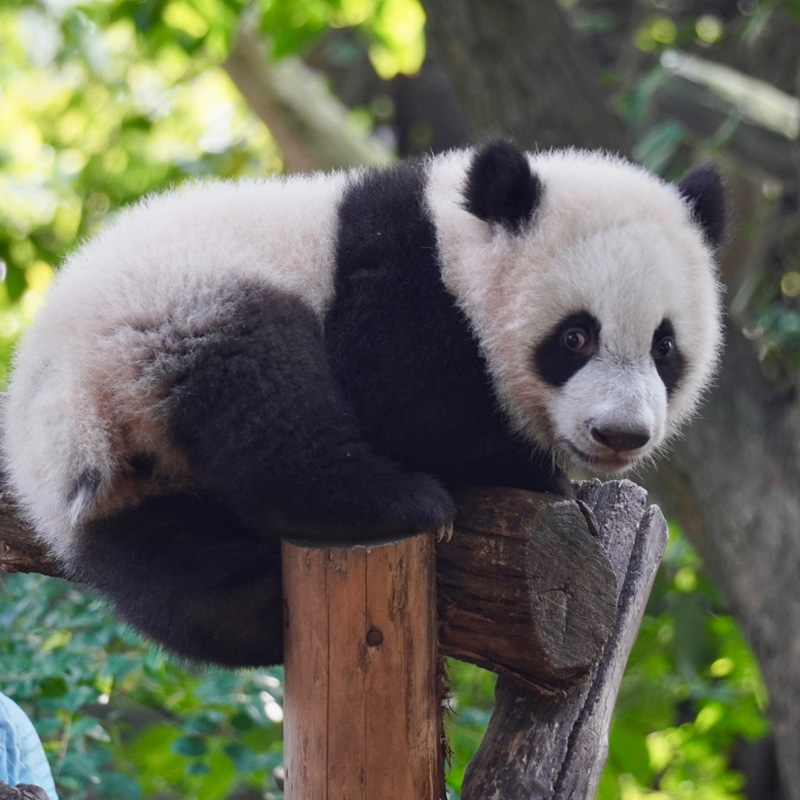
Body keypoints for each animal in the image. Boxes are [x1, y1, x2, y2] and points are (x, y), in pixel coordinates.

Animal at [0, 141, 724, 664]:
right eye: (575, 337)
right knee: (269, 405)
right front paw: (541, 479)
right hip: (174, 317)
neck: (457, 240)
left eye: (664, 347)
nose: (621, 434)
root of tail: (58, 424)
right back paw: (396, 501)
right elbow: (401, 396)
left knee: (170, 574)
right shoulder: (397, 279)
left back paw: (251, 602)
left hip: (120, 491)